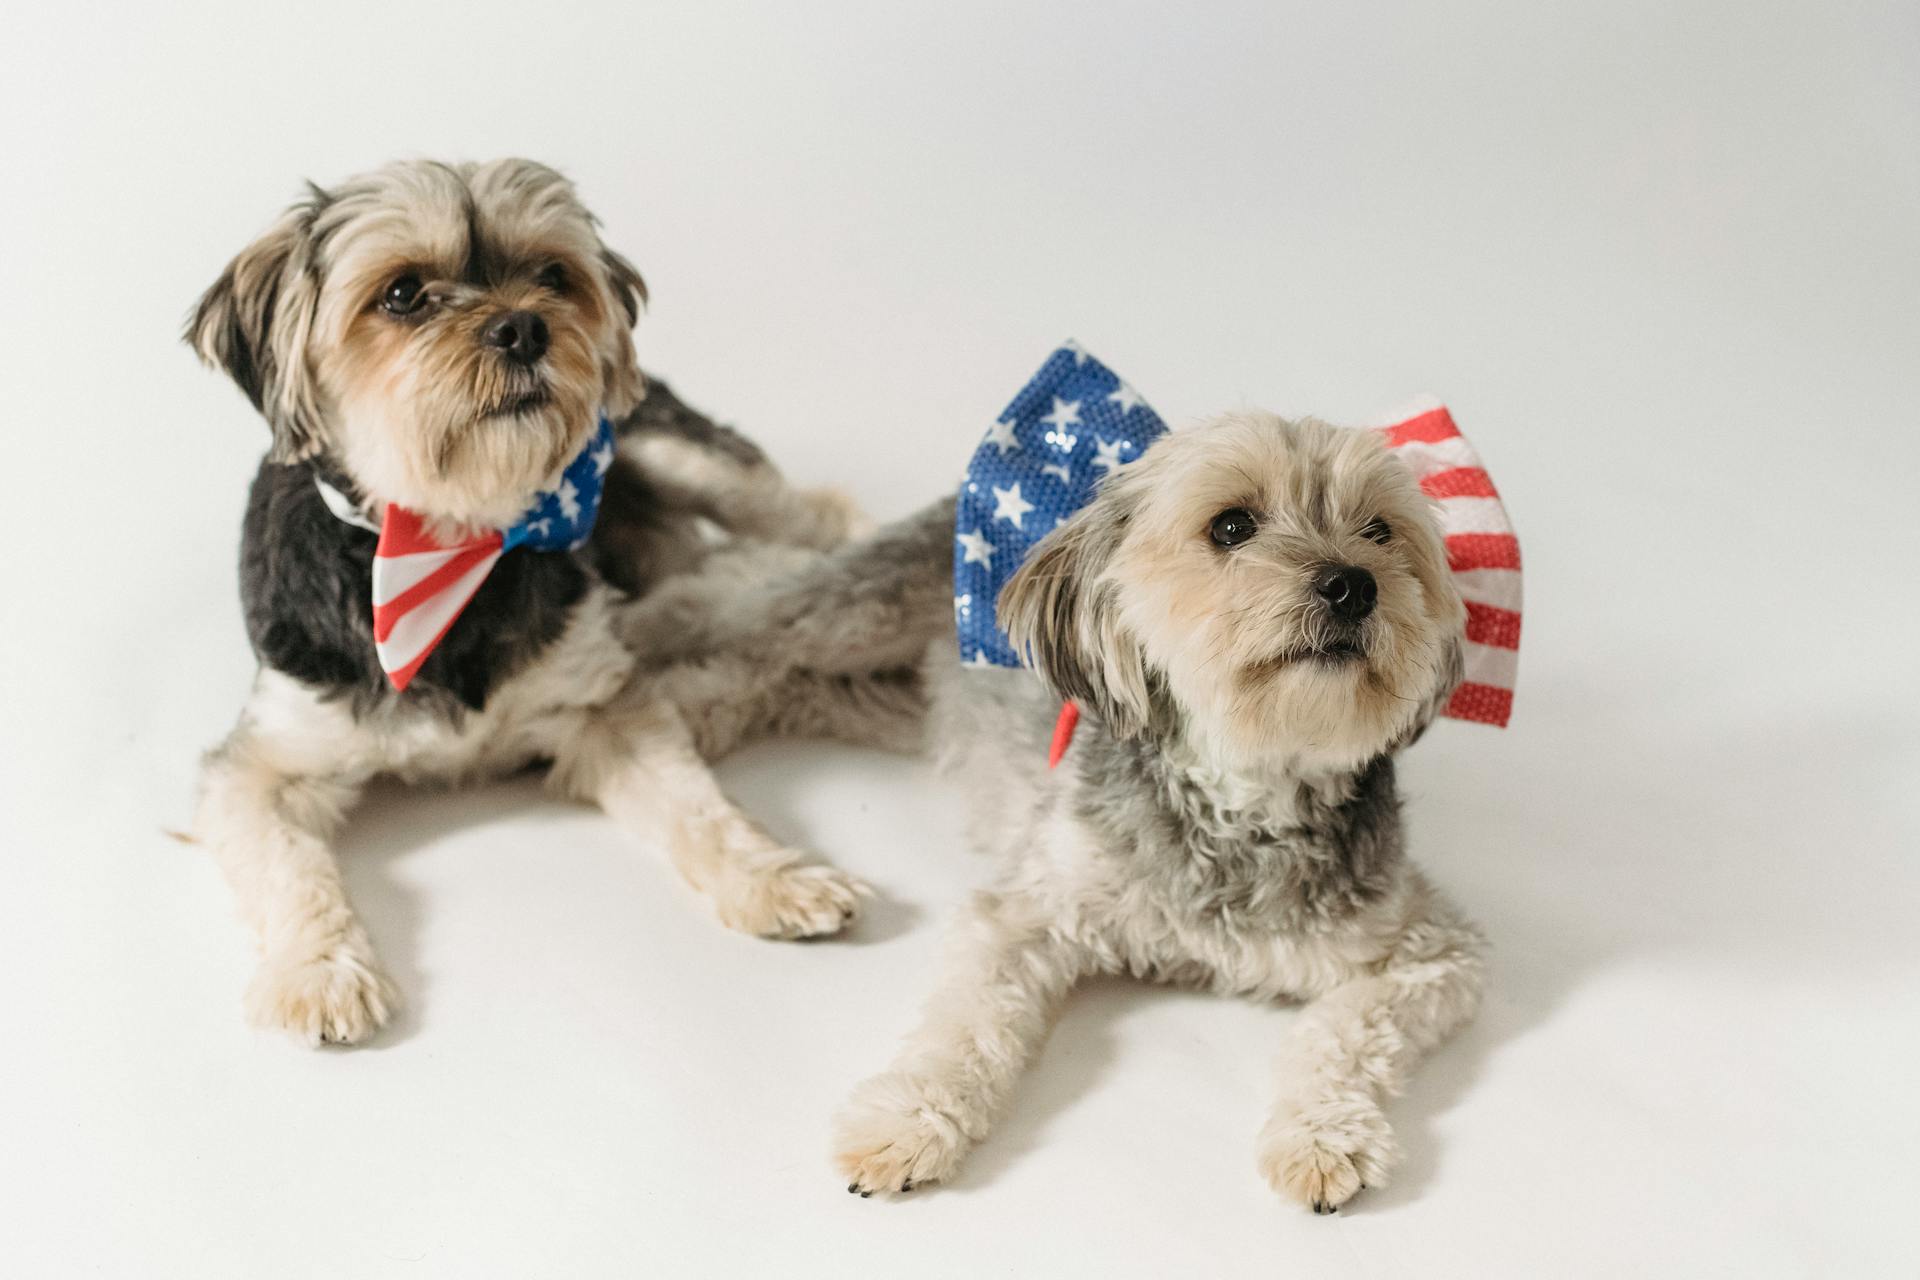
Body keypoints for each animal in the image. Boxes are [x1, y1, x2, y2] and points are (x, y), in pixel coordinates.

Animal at [629, 408, 1482, 1212]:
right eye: (1232, 525)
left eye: (1380, 530)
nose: (1354, 583)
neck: (1245, 791)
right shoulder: (1023, 910)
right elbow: (965, 1029)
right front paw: (905, 1122)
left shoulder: (1432, 951)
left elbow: (1342, 1034)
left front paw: (1322, 1137)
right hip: (842, 616)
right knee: (726, 595)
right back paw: (630, 688)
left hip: (896, 699)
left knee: (772, 683)